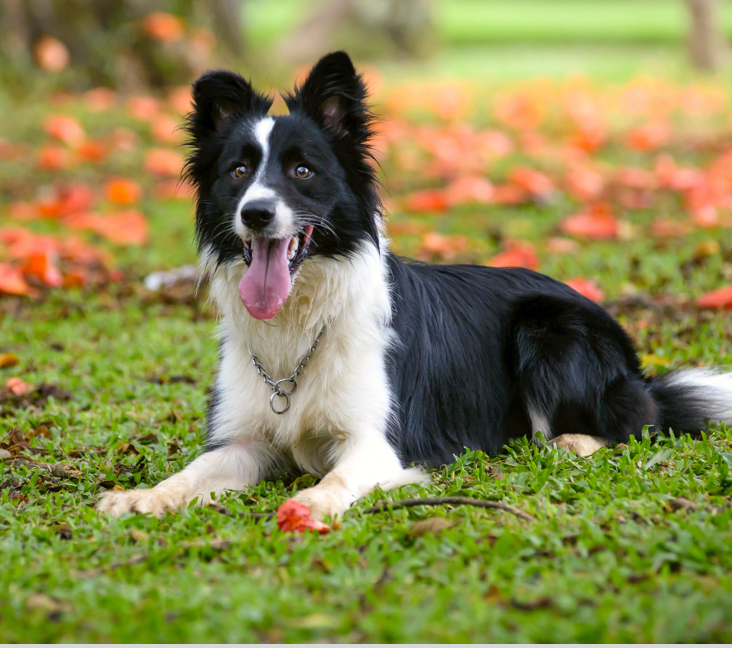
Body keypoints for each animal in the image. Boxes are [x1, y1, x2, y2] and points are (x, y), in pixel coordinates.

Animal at [100, 50, 732, 520]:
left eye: (302, 170)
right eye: (237, 172)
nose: (256, 214)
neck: (301, 321)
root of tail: (636, 367)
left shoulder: (378, 442)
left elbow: (338, 478)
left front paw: (311, 503)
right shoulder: (243, 441)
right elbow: (192, 471)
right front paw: (142, 496)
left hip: (549, 328)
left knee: (634, 425)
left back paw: (569, 442)